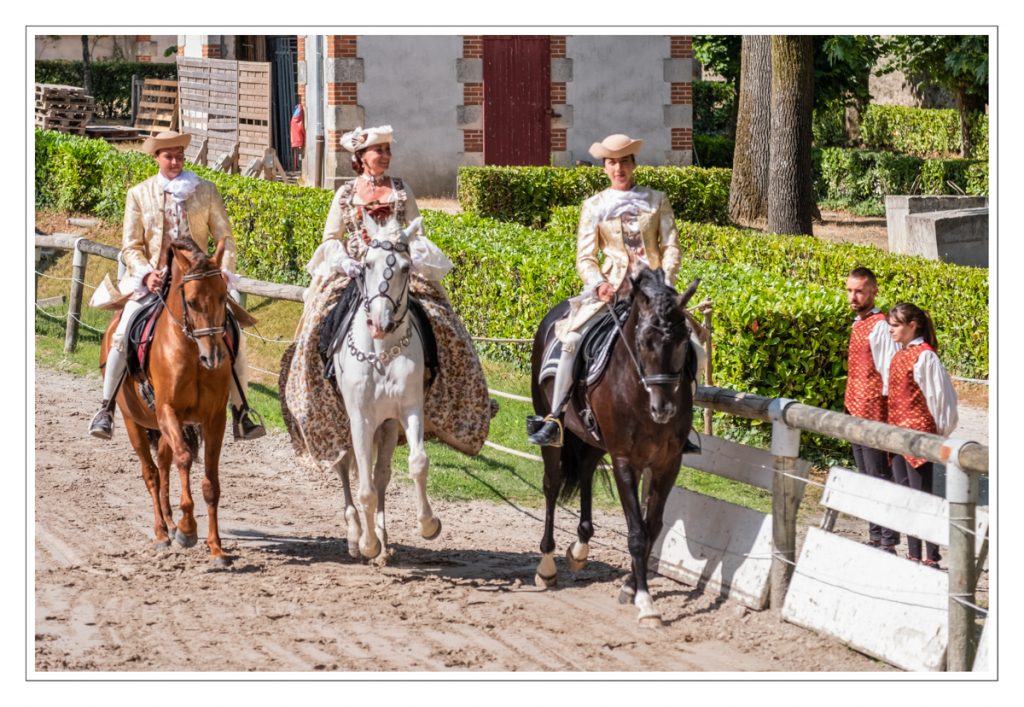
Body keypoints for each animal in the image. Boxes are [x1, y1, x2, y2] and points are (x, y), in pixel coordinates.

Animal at [99, 239, 232, 565]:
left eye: (223, 297)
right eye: (192, 302)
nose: (214, 357)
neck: (192, 352)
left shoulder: (214, 419)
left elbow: (211, 482)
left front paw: (216, 547)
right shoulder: (167, 411)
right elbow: (184, 459)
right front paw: (188, 529)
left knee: (163, 466)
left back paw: (170, 523)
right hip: (133, 421)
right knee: (151, 473)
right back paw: (162, 533)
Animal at [331, 213, 436, 557]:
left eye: (405, 267)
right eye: (366, 264)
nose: (380, 323)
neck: (382, 353)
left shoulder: (408, 409)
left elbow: (417, 463)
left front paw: (428, 524)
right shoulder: (360, 419)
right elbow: (363, 488)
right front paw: (366, 544)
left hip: (387, 426)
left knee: (381, 475)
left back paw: (382, 535)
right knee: (345, 468)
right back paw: (355, 535)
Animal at [532, 266, 700, 627]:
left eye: (683, 342)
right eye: (643, 342)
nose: (663, 409)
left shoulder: (668, 464)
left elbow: (652, 528)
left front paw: (630, 587)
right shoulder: (625, 460)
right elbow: (636, 533)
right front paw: (646, 603)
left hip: (593, 438)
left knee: (584, 471)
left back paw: (580, 549)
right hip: (551, 425)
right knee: (552, 485)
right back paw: (547, 566)